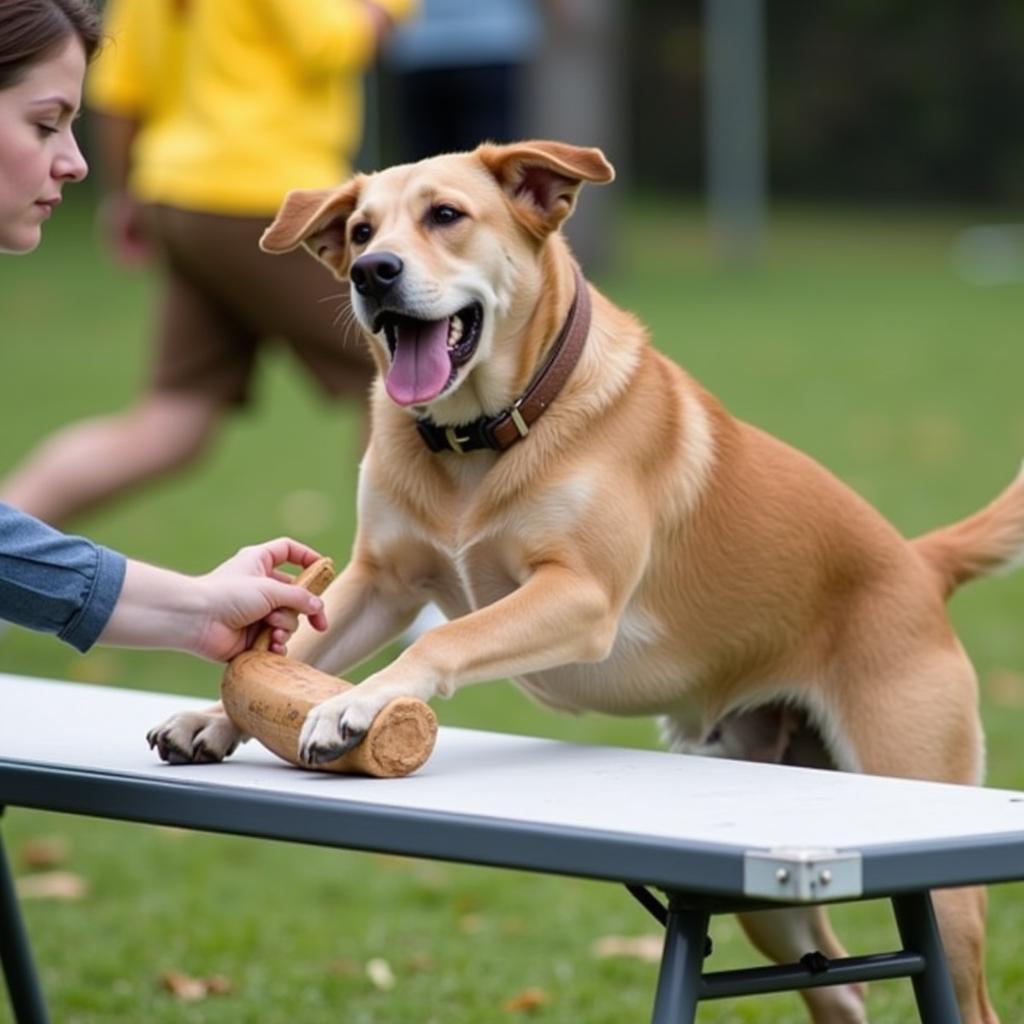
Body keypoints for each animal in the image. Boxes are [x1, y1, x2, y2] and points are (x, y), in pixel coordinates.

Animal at [148, 144, 1019, 1024]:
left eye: (445, 215)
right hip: (768, 900)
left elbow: (450, 635)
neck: (477, 440)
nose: (372, 272)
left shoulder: (580, 594)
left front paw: (359, 703)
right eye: (361, 230)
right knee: (841, 992)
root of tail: (917, 562)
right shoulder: (381, 580)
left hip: (939, 870)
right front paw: (213, 718)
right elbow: (299, 649)